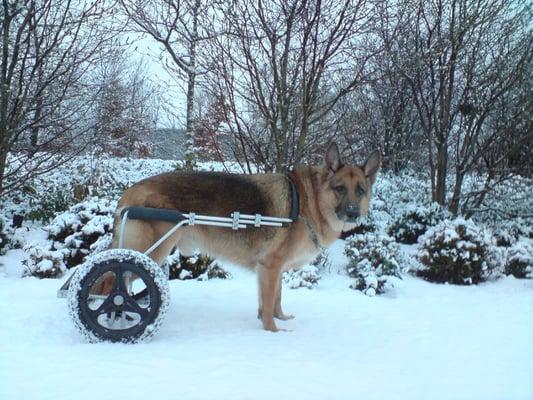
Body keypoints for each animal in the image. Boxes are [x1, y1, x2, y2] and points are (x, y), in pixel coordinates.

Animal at [109, 144, 378, 332]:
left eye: (360, 190)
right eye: (340, 189)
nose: (353, 213)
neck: (308, 202)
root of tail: (130, 191)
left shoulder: (273, 270)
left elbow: (275, 299)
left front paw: (280, 319)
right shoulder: (270, 267)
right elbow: (268, 304)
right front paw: (273, 332)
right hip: (149, 252)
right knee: (111, 283)